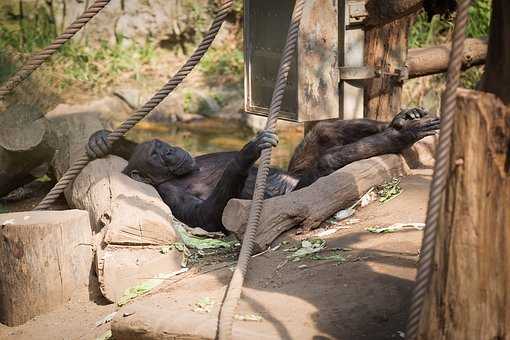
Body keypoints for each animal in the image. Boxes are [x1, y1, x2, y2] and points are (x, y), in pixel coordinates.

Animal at [86, 107, 438, 232]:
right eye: (157, 155)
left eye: (161, 144)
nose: (171, 151)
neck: (183, 172)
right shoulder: (171, 195)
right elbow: (205, 216)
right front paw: (247, 154)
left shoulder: (195, 155)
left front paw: (101, 139)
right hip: (305, 182)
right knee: (326, 163)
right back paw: (400, 135)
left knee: (324, 132)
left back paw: (402, 121)